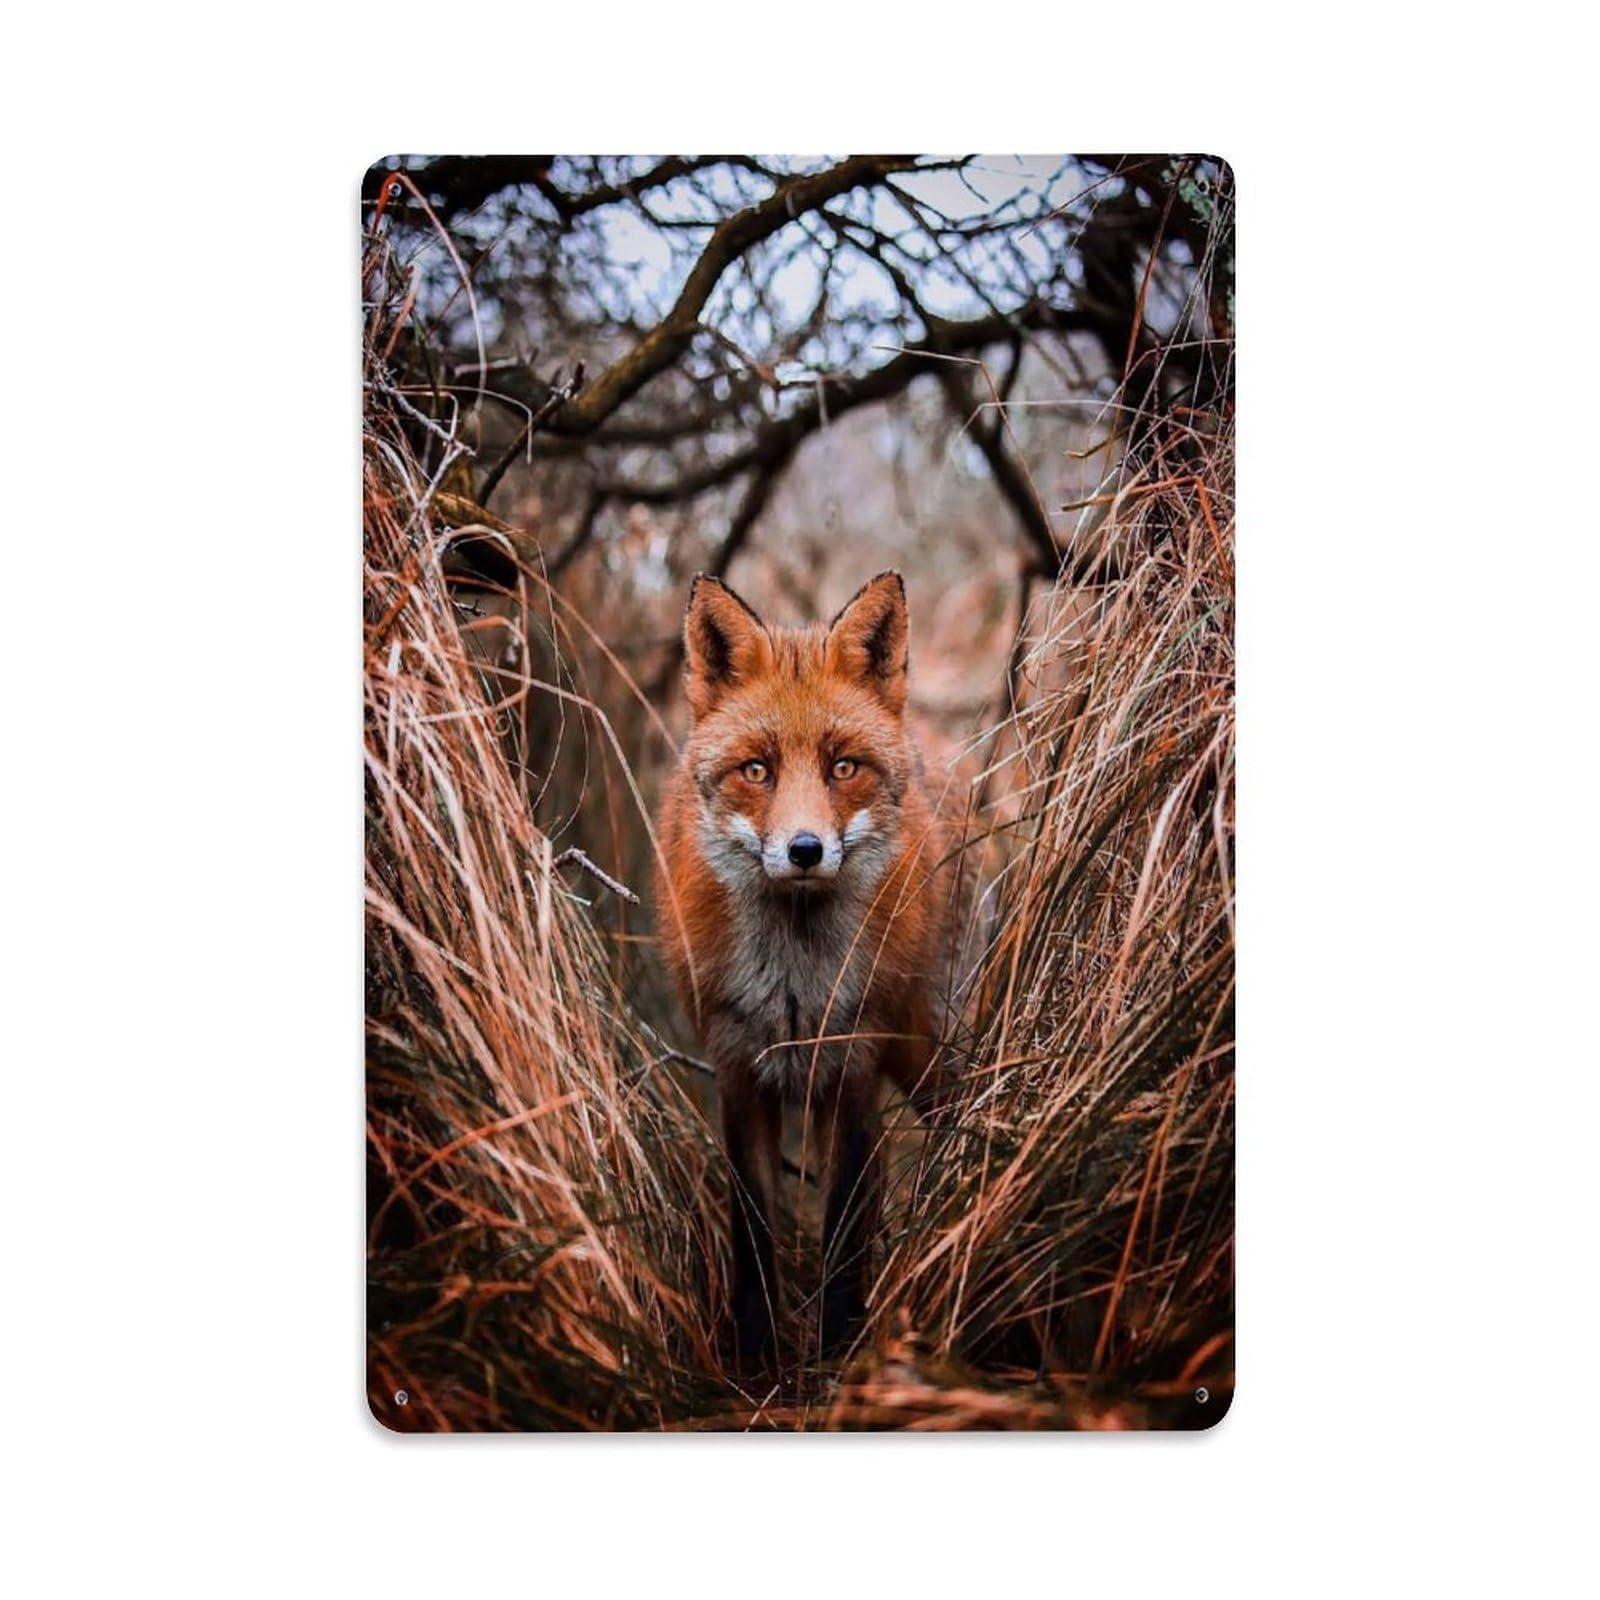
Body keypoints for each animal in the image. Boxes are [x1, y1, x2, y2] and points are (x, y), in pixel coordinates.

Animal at [655, 570, 950, 1364]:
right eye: (757, 770)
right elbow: (753, 1224)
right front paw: (758, 1348)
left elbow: (842, 1224)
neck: (792, 981)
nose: (806, 850)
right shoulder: (736, 1069)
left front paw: (841, 1343)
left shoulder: (849, 1065)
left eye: (842, 767)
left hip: (915, 1047)